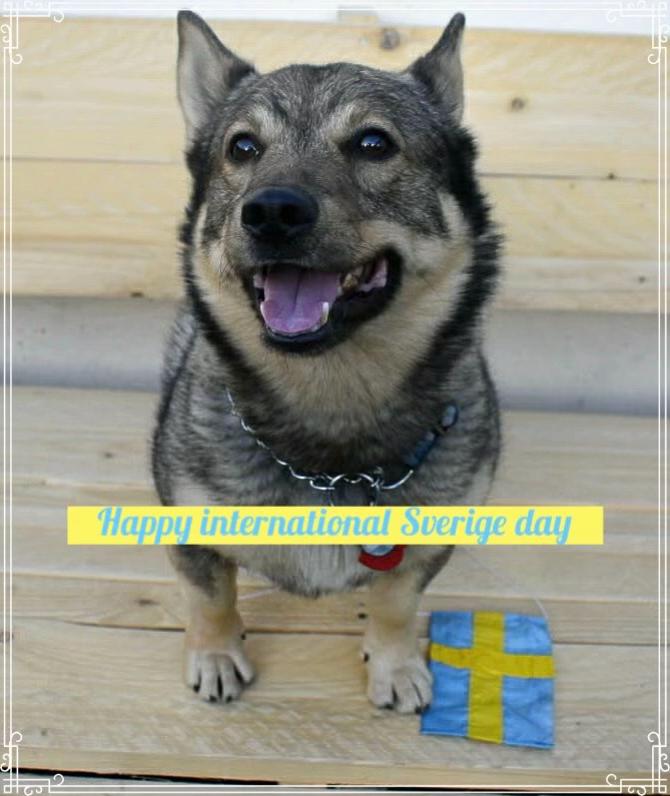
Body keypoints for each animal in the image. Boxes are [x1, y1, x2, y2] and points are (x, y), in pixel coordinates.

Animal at [152, 9, 501, 714]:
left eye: (373, 143)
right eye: (242, 148)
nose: (272, 211)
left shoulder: (427, 541)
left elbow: (396, 602)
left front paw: (394, 664)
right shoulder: (189, 527)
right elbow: (210, 597)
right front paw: (215, 655)